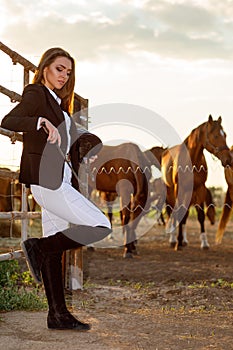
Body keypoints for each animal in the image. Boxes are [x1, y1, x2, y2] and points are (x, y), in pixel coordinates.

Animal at [161, 116, 232, 250]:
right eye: (215, 136)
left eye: (225, 135)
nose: (229, 159)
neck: (191, 161)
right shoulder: (179, 189)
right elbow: (178, 213)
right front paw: (177, 242)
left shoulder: (199, 189)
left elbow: (200, 216)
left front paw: (204, 243)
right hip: (170, 192)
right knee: (171, 212)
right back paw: (173, 239)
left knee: (185, 214)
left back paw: (184, 240)